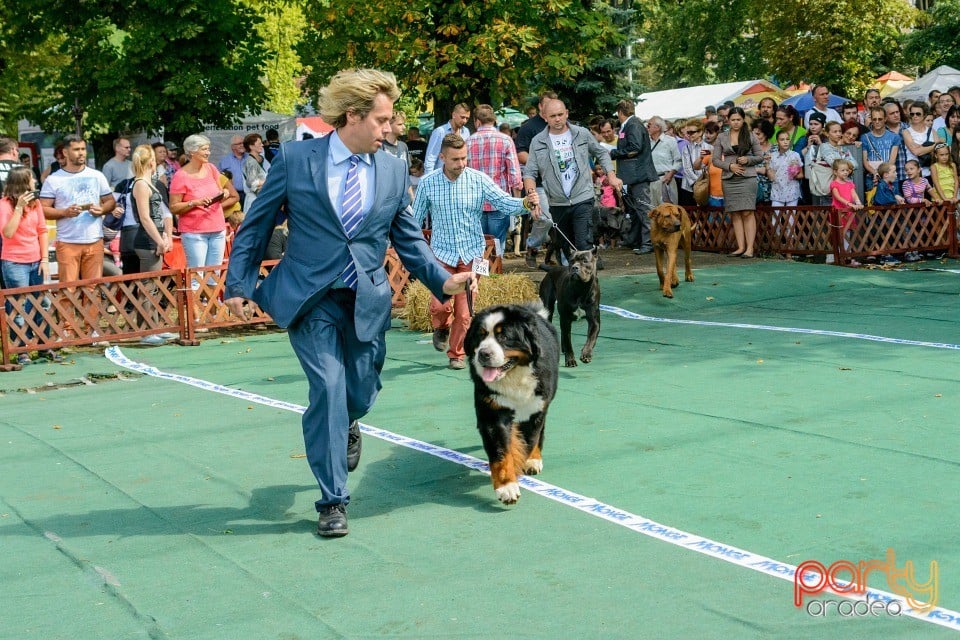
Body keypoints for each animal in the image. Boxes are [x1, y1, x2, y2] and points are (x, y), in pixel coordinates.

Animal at [466, 302, 564, 502]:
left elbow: (527, 442)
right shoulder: (492, 411)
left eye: (503, 336)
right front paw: (506, 486)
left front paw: (520, 465)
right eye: (480, 335)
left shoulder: (533, 409)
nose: (484, 353)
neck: (513, 377)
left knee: (540, 432)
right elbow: (501, 452)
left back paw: (534, 460)